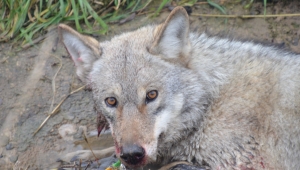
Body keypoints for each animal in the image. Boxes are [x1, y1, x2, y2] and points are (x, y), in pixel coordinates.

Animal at [58, 5, 300, 169]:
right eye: (111, 101)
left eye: (152, 95)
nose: (132, 154)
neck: (209, 105)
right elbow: (110, 146)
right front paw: (76, 149)